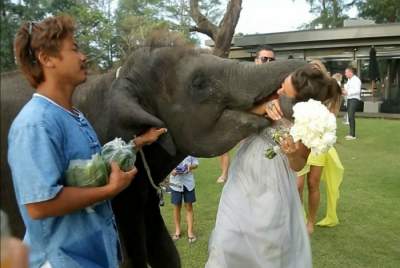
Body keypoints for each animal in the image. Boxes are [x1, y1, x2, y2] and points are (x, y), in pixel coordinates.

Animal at [0, 35, 306, 266]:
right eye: (199, 83)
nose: (307, 67)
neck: (115, 78)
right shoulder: (122, 201)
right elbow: (132, 258)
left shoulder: (143, 197)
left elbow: (165, 252)